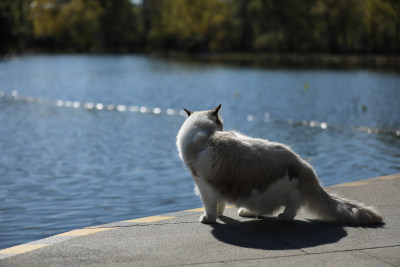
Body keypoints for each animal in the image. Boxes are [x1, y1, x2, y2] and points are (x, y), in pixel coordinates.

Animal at [177, 104, 382, 226]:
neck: (206, 133)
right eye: (220, 125)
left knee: (292, 207)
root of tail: (305, 166)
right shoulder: (218, 186)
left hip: (276, 194)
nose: (222, 127)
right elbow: (220, 205)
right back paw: (247, 212)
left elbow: (210, 207)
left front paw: (209, 219)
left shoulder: (204, 186)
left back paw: (282, 216)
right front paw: (219, 216)